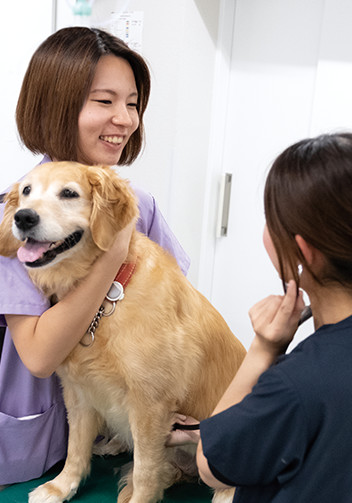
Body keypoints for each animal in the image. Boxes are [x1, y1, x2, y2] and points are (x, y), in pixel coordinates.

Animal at [0, 162, 245, 503]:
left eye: (69, 193)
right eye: (26, 191)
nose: (23, 217)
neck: (105, 298)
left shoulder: (150, 404)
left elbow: (145, 470)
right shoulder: (78, 390)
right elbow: (75, 448)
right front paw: (61, 486)